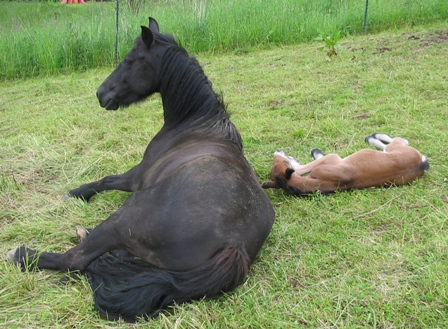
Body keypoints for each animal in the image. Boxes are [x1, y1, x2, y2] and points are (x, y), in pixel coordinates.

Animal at [7, 17, 274, 320]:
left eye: (129, 60)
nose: (100, 94)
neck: (196, 123)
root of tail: (235, 245)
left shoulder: (137, 176)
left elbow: (107, 179)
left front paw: (76, 193)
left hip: (121, 221)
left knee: (75, 259)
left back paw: (21, 254)